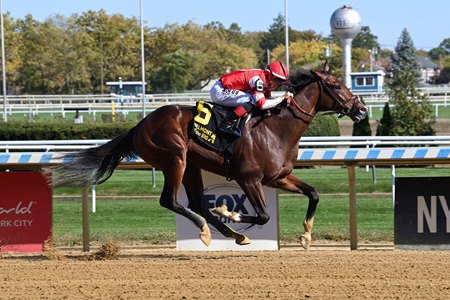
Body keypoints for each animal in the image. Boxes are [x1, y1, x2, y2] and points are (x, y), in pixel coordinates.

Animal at [50, 62, 366, 248]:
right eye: (336, 86)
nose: (361, 110)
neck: (276, 129)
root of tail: (140, 124)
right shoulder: (249, 179)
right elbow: (262, 215)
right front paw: (228, 211)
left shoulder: (278, 177)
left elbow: (313, 193)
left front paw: (306, 235)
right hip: (174, 159)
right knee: (171, 201)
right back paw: (207, 230)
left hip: (191, 166)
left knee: (197, 203)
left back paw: (232, 234)